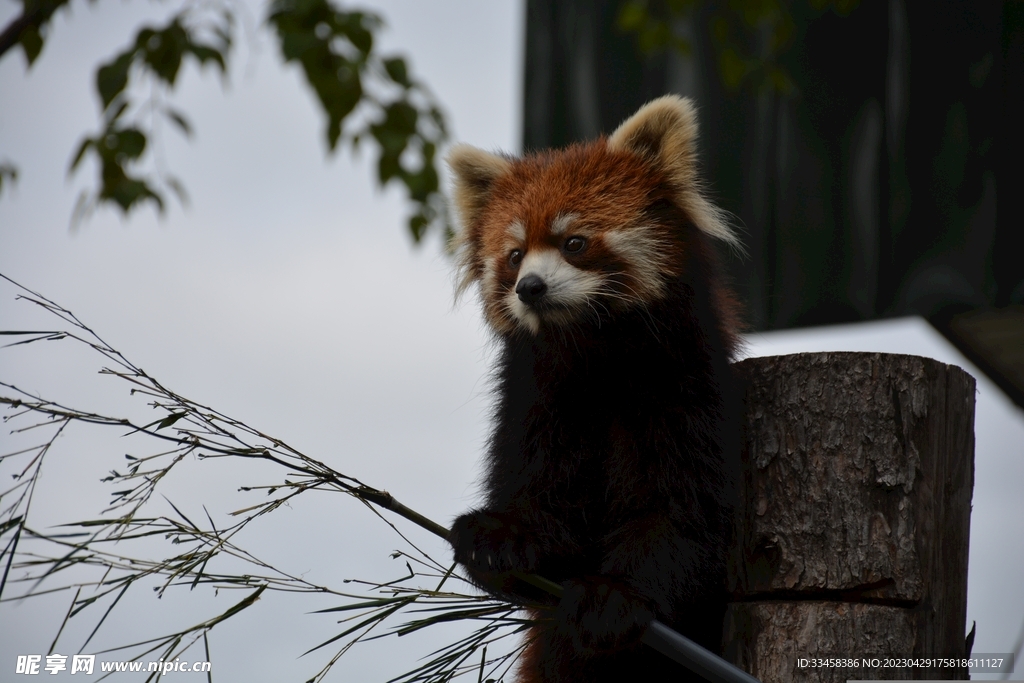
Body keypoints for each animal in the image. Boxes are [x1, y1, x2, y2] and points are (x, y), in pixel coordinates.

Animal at [448, 96, 745, 683]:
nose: (530, 287)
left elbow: (680, 510)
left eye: (574, 243)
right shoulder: (537, 397)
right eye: (514, 255)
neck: (596, 353)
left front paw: (616, 595)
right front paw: (501, 537)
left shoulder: (686, 388)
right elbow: (544, 494)